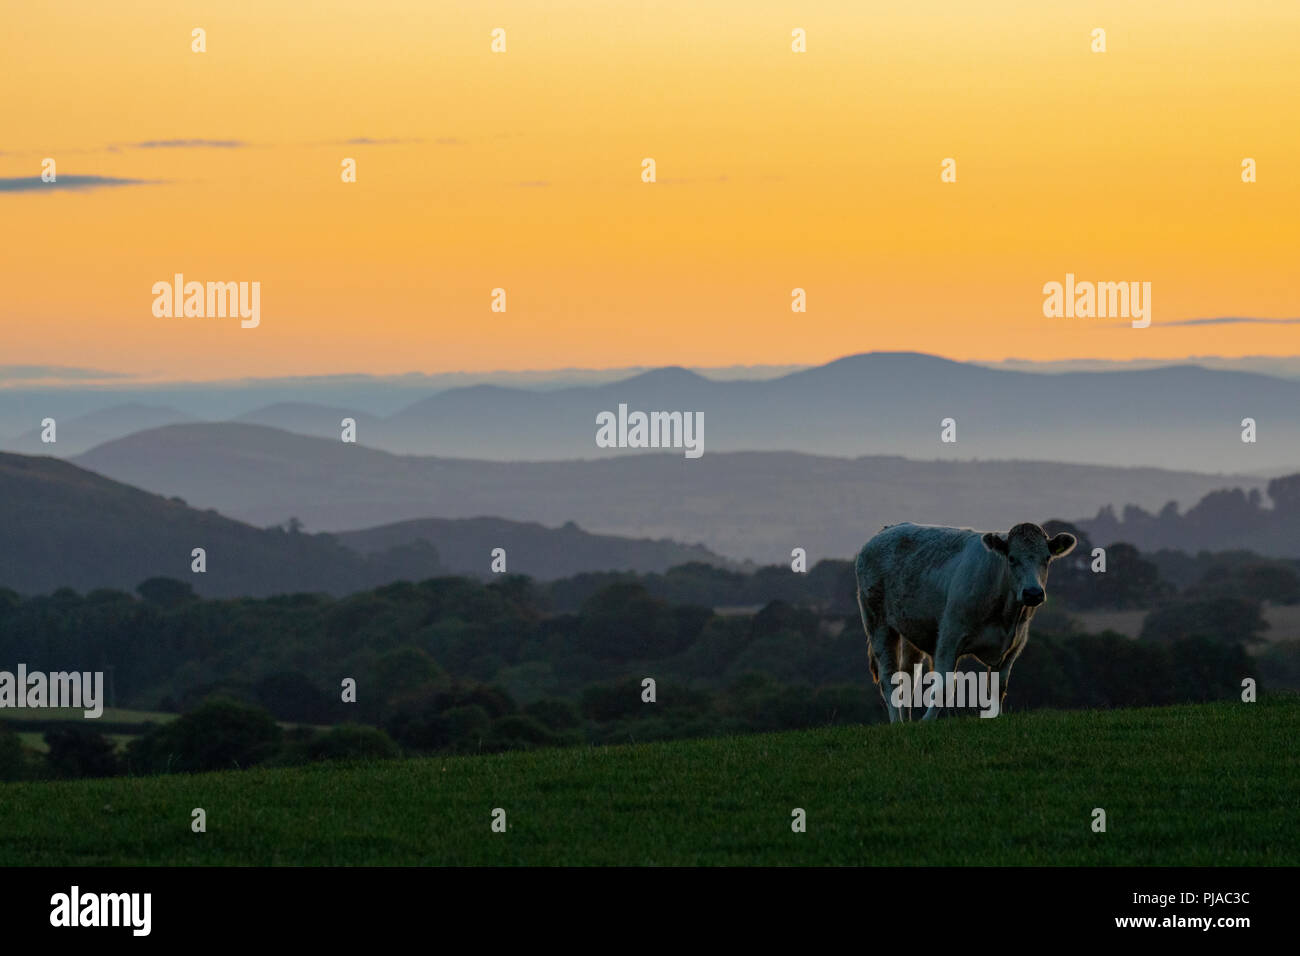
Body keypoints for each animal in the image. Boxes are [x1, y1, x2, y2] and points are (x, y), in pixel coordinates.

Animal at [852, 528, 1076, 723]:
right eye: (1012, 558)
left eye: (1047, 558)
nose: (1033, 593)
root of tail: (885, 531)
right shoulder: (949, 637)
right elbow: (943, 687)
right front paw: (926, 721)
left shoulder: (1014, 646)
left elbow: (998, 687)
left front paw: (995, 717)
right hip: (878, 624)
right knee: (888, 678)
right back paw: (897, 723)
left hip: (910, 631)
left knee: (907, 677)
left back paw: (906, 722)